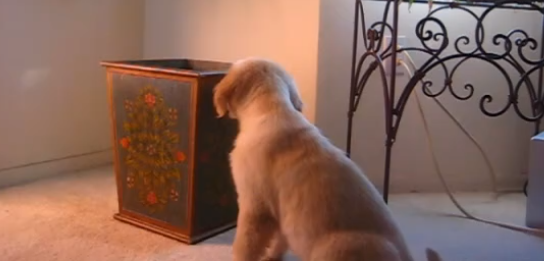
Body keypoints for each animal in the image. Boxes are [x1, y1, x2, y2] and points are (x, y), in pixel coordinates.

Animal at [212, 58, 442, 260]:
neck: (271, 108)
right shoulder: (279, 214)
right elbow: (279, 240)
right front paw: (273, 257)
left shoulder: (254, 205)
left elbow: (244, 246)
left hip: (334, 248)